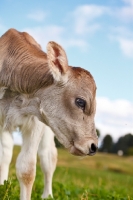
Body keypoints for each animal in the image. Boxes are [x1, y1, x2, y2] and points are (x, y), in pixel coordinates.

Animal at [0, 28, 97, 199]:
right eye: (80, 102)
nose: (93, 146)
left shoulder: (36, 122)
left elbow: (27, 170)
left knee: (48, 158)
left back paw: (48, 195)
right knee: (6, 153)